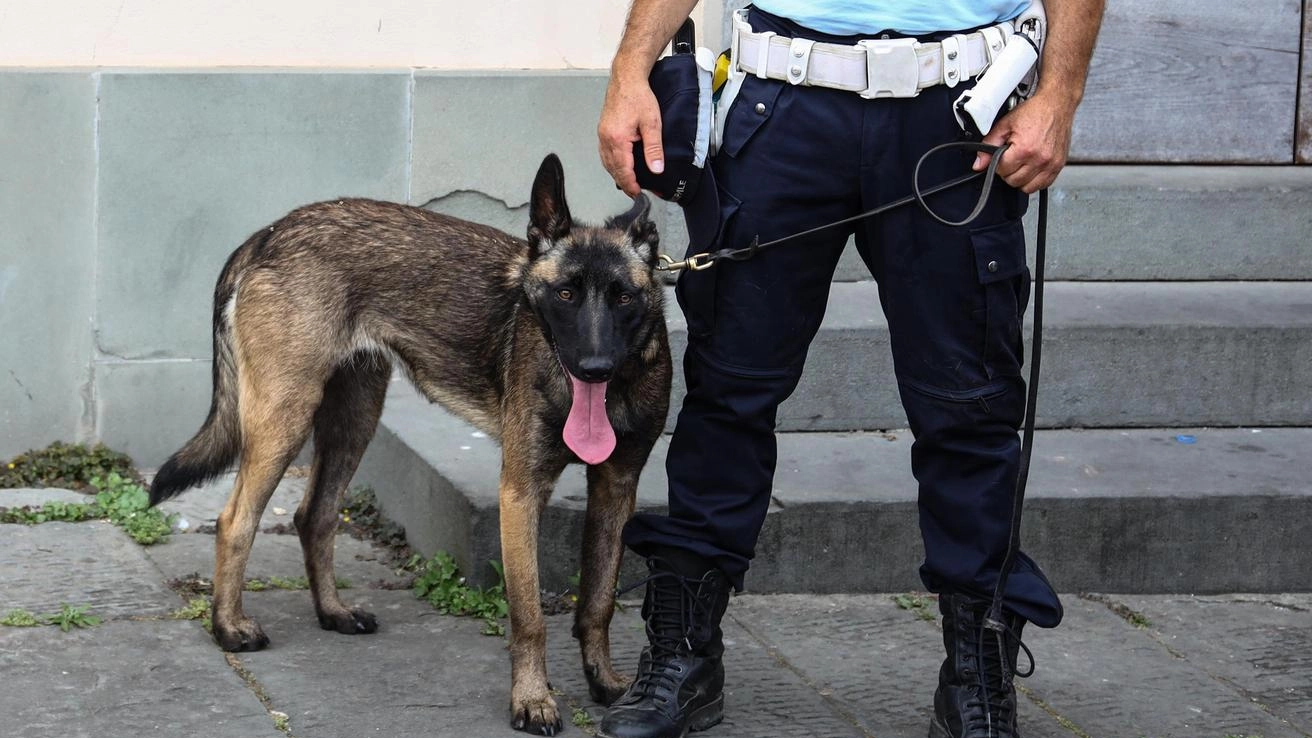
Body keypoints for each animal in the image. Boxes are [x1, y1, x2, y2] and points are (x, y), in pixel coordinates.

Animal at [148, 153, 671, 730]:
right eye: (565, 295)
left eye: (623, 297)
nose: (594, 368)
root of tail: (269, 234)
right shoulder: (521, 492)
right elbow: (529, 616)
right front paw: (533, 700)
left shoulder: (616, 488)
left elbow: (598, 601)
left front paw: (605, 682)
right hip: (286, 416)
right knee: (236, 520)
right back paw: (229, 626)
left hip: (354, 418)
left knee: (316, 515)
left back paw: (332, 612)